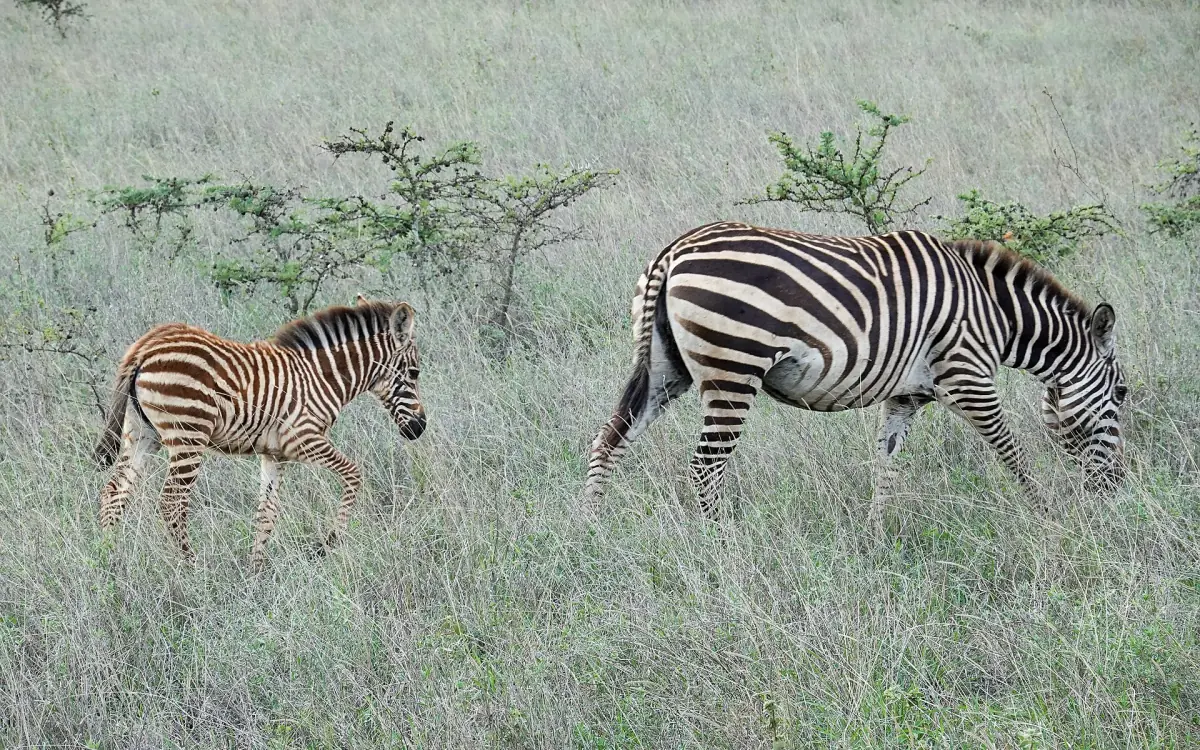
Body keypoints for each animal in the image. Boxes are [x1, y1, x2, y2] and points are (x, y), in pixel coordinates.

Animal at [94, 296, 426, 565]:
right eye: (415, 372)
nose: (419, 429)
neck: (322, 378)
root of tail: (146, 346)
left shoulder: (274, 454)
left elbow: (267, 513)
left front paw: (256, 572)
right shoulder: (303, 439)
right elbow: (354, 474)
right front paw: (328, 543)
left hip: (141, 433)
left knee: (115, 492)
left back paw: (110, 560)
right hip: (188, 435)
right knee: (171, 502)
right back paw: (192, 567)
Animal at [584, 222, 1126, 526]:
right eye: (1121, 393)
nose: (1117, 489)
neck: (995, 315)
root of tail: (674, 251)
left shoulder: (905, 397)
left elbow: (886, 463)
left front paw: (877, 532)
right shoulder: (967, 378)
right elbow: (1012, 453)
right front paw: (1047, 517)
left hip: (665, 370)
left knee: (609, 439)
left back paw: (593, 529)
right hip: (733, 371)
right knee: (704, 466)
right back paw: (722, 544)